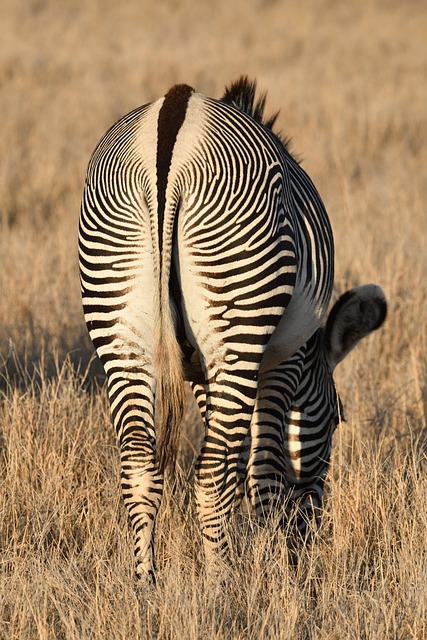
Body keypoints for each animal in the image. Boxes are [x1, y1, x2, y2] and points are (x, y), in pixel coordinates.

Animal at [78, 77, 390, 584]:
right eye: (337, 418)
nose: (309, 535)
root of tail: (174, 113)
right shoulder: (283, 361)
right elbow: (262, 469)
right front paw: (270, 564)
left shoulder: (200, 368)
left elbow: (242, 456)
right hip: (238, 315)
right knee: (211, 473)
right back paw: (222, 582)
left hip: (118, 320)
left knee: (139, 465)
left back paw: (145, 584)